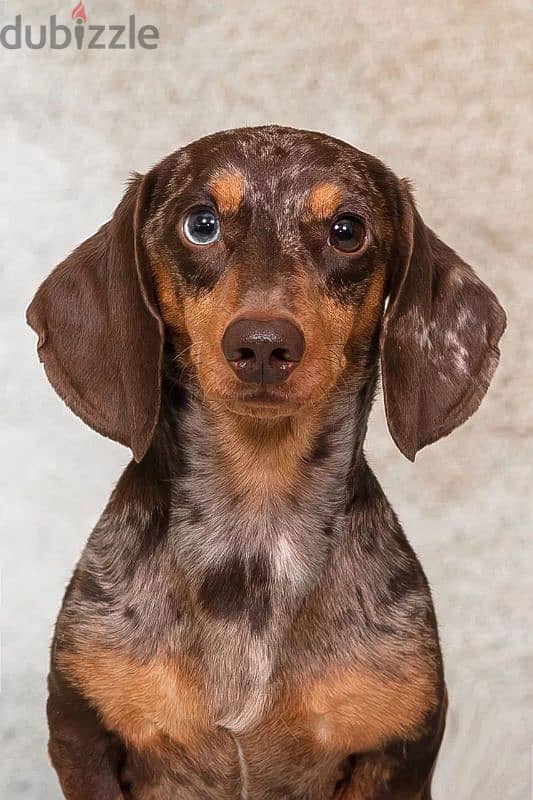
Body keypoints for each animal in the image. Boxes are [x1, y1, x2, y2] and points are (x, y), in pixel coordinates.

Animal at [27, 126, 504, 800]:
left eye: (347, 230)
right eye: (200, 224)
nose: (261, 344)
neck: (256, 521)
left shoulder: (399, 754)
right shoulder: (81, 734)